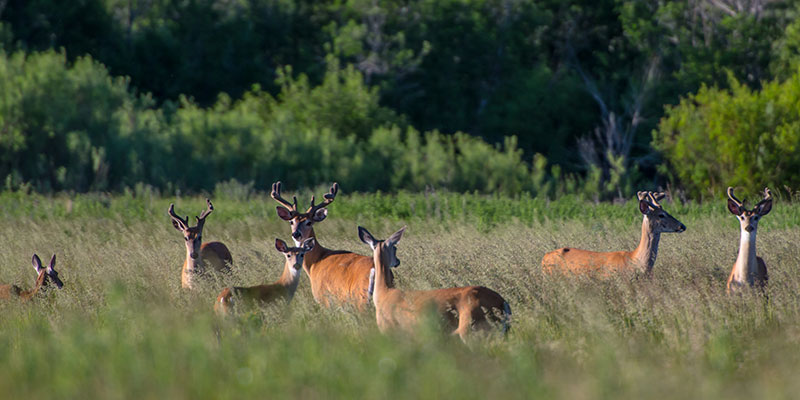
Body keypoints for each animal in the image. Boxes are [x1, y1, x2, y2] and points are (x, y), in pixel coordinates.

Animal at [359, 226, 511, 341]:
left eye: (395, 248)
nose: (397, 261)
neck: (384, 293)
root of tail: (503, 303)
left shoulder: (389, 330)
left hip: (472, 330)